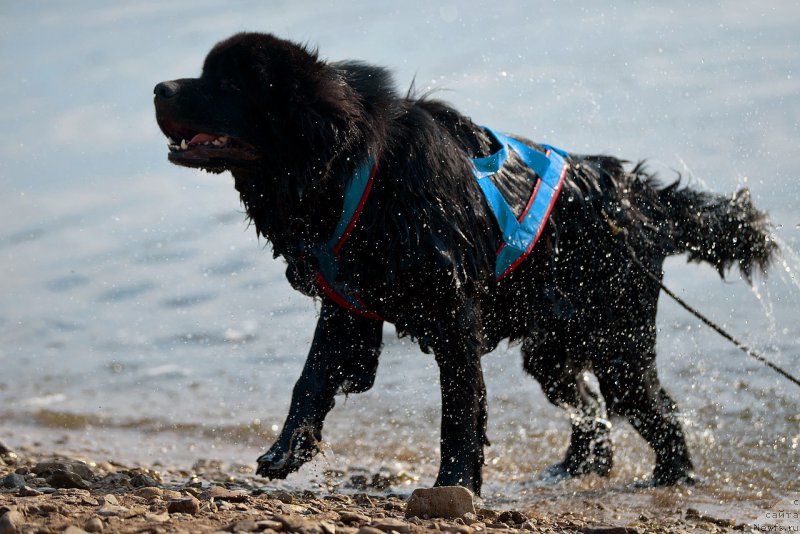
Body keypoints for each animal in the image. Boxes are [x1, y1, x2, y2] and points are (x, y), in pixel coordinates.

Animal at [155, 32, 776, 494]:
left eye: (226, 83)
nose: (159, 87)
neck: (360, 172)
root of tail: (635, 198)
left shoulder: (453, 317)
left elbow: (460, 408)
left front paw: (455, 483)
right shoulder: (346, 307)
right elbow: (310, 378)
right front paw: (285, 452)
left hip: (616, 338)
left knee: (656, 408)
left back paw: (671, 478)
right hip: (552, 347)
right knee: (591, 409)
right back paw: (573, 469)